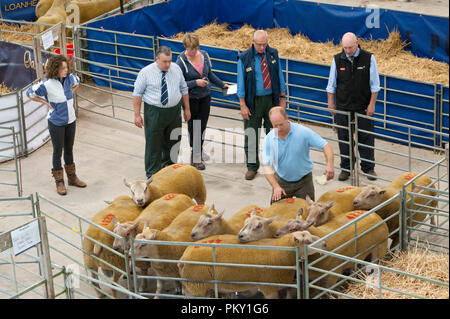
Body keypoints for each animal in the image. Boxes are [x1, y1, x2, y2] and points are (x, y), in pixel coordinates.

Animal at [177, 231, 326, 298]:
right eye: (307, 241)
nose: (324, 243)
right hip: (197, 284)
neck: (280, 251)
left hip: (193, 284)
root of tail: (183, 257)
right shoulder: (269, 287)